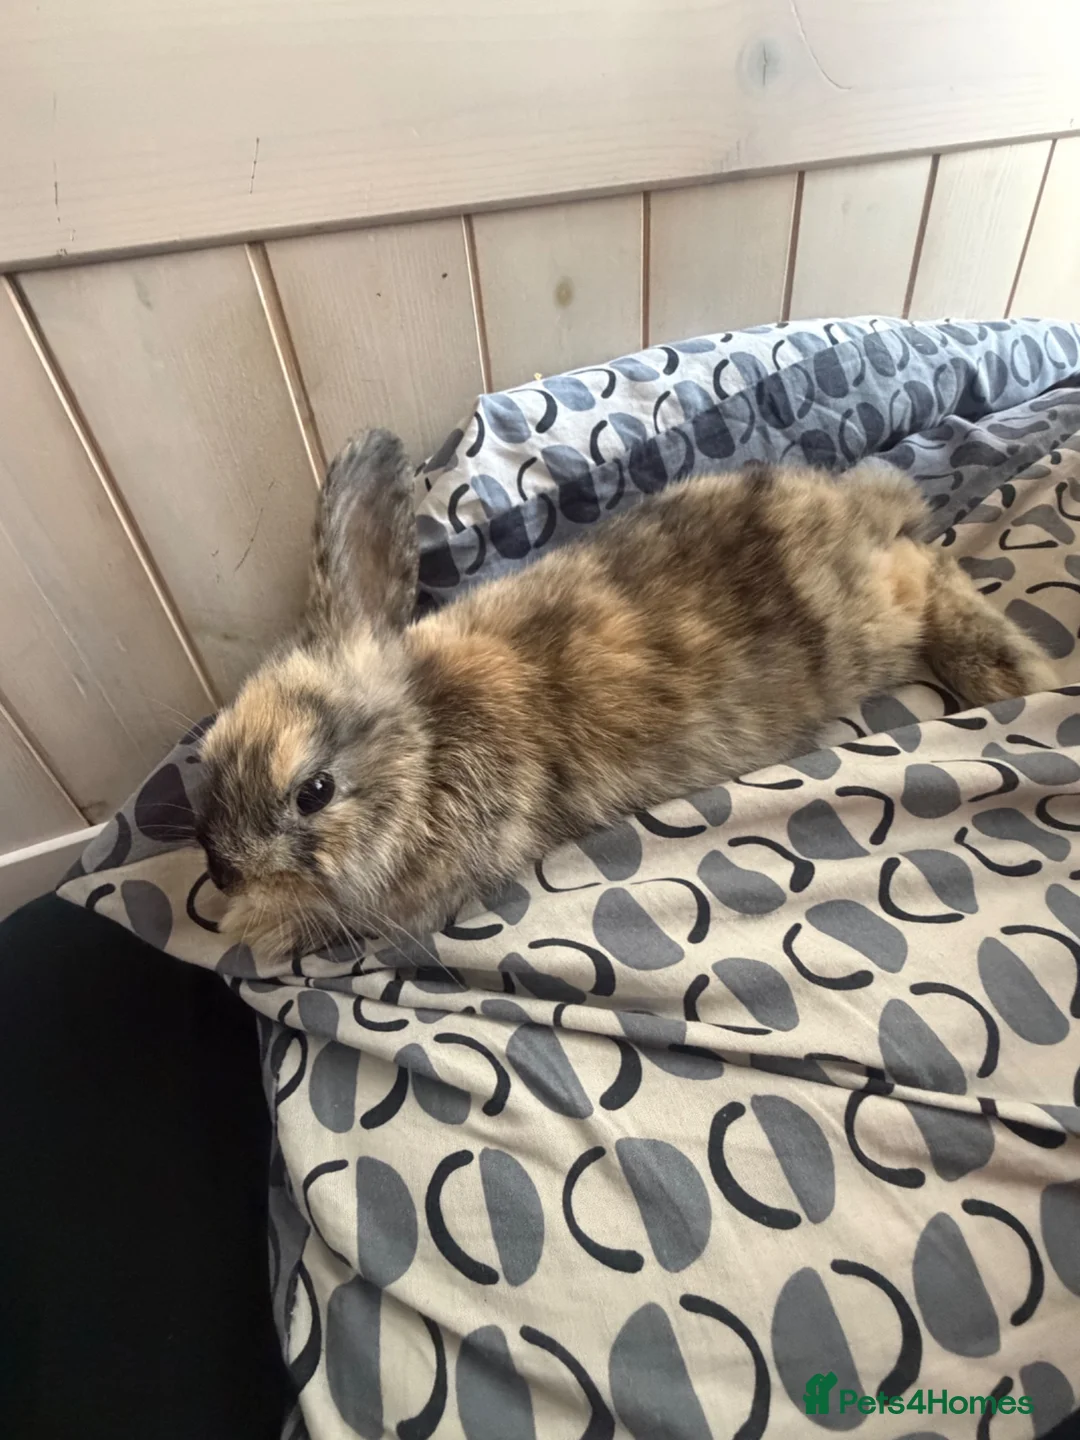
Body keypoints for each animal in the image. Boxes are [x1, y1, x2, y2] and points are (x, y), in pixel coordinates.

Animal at [195, 429, 1056, 961]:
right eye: (207, 757)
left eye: (313, 791)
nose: (224, 874)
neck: (423, 741)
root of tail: (854, 511)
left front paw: (247, 927)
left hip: (874, 622)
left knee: (931, 570)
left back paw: (1014, 675)